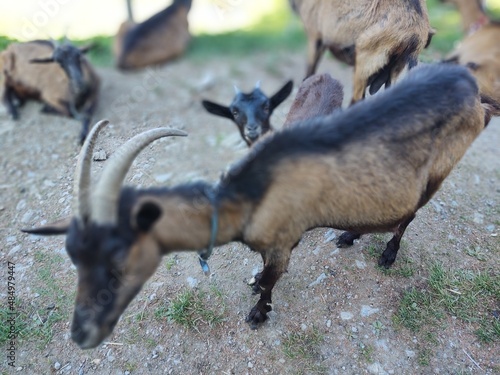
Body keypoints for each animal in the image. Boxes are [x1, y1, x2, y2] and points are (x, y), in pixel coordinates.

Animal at [20, 64, 496, 350]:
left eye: (119, 254)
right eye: (73, 255)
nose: (81, 334)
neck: (248, 197)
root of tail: (476, 94)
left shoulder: (282, 241)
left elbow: (270, 280)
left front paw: (257, 314)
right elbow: (262, 274)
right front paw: (252, 286)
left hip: (440, 169)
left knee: (410, 213)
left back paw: (387, 254)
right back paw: (349, 234)